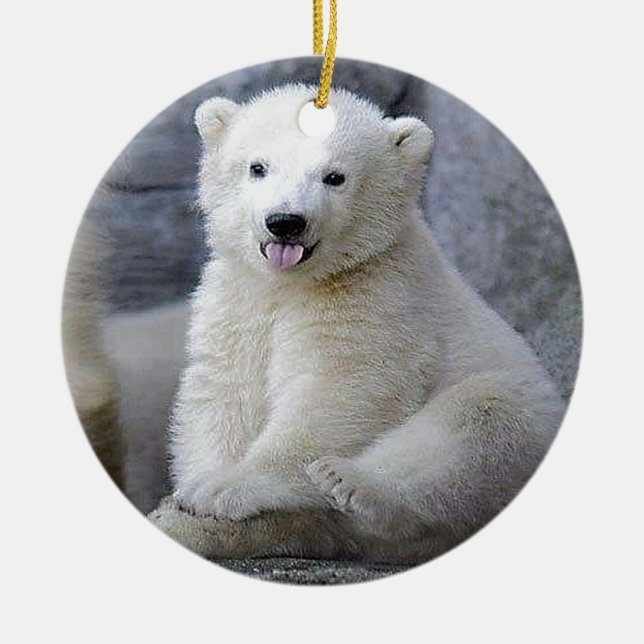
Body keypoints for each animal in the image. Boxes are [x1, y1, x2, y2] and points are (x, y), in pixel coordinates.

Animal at [151, 85, 565, 565]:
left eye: (335, 177)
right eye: (258, 167)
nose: (286, 222)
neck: (294, 282)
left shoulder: (378, 292)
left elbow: (342, 387)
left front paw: (225, 489)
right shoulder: (241, 298)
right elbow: (226, 390)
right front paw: (192, 498)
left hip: (525, 413)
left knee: (483, 414)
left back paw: (351, 482)